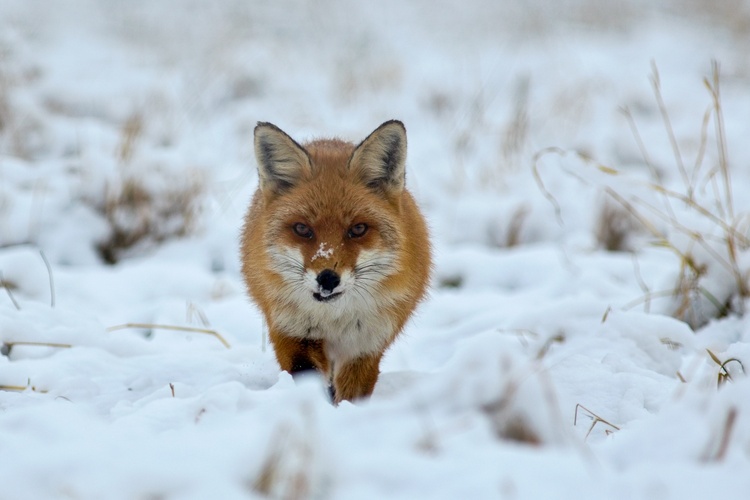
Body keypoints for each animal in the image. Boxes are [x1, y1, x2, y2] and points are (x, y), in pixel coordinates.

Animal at [244, 123, 432, 404]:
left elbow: (351, 393)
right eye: (302, 229)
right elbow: (305, 375)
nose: (327, 278)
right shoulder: (292, 332)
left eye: (358, 229)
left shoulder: (366, 345)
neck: (334, 317)